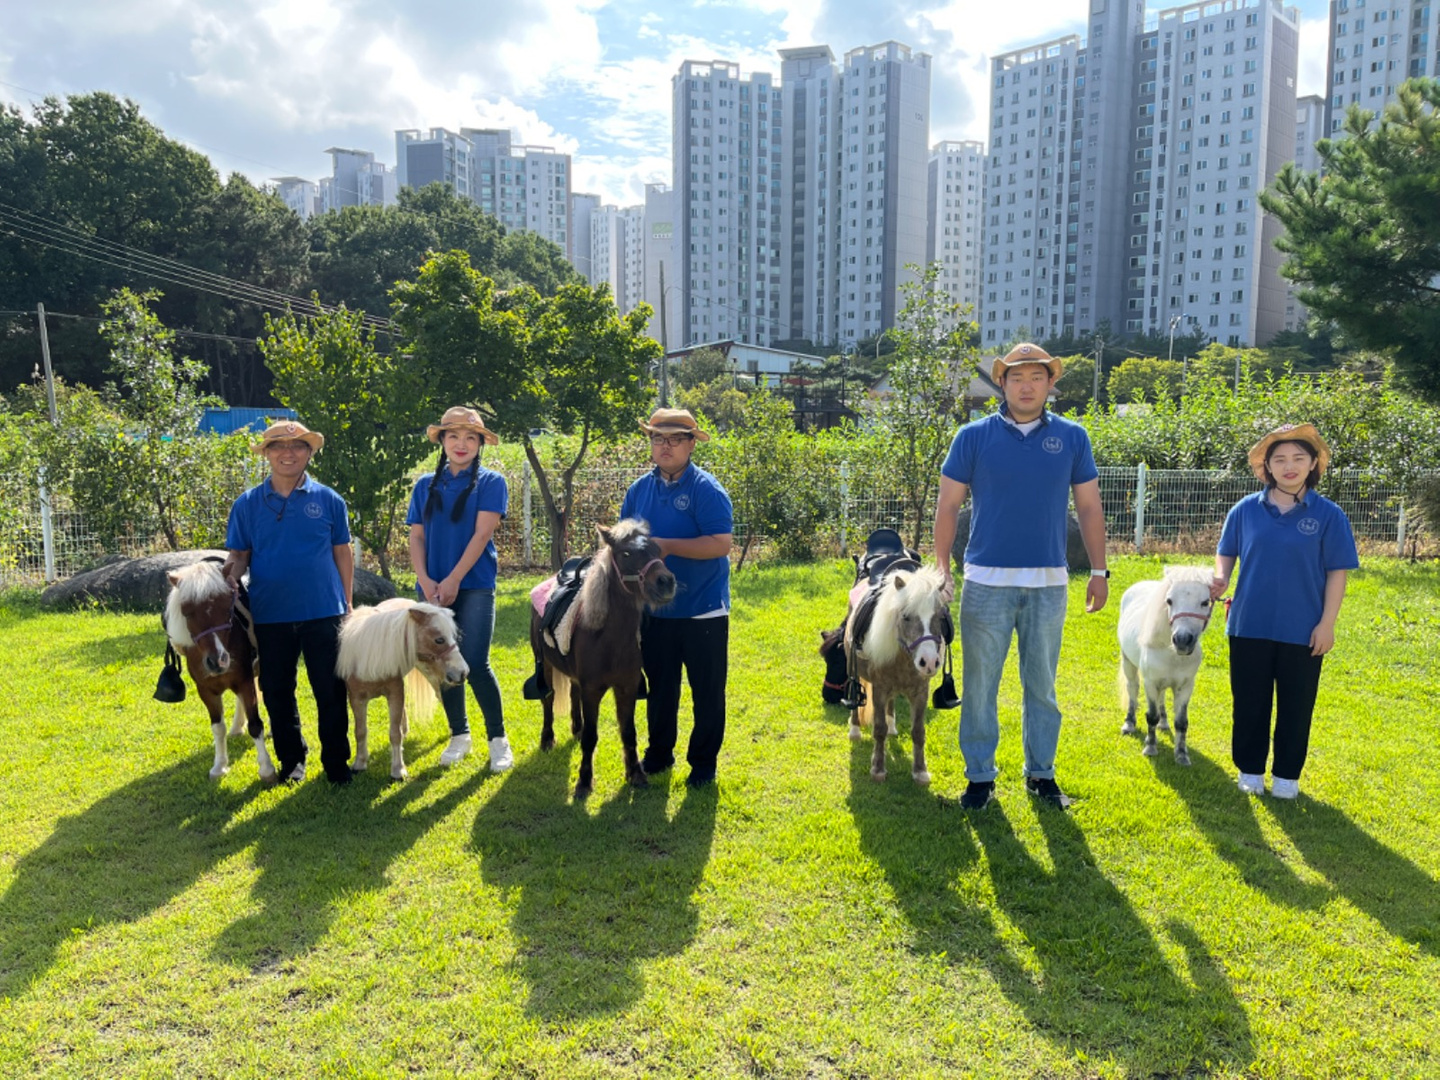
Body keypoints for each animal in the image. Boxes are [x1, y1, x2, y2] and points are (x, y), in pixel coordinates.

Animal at [164, 558, 276, 789]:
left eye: (227, 608)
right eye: (187, 612)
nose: (218, 661)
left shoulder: (244, 681)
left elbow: (255, 724)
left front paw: (266, 768)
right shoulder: (206, 690)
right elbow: (218, 728)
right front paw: (220, 766)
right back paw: (236, 727)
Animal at [335, 596, 466, 783]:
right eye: (439, 639)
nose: (463, 672)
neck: (372, 655)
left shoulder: (395, 693)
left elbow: (394, 734)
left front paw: (398, 770)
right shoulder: (356, 699)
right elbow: (360, 731)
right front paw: (359, 763)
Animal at [532, 521, 676, 800]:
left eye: (657, 550)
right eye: (626, 554)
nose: (666, 582)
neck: (609, 637)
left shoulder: (627, 689)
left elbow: (629, 732)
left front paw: (636, 774)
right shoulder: (593, 691)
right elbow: (591, 736)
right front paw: (584, 782)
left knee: (573, 693)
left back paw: (575, 728)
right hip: (545, 666)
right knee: (548, 700)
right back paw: (547, 739)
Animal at [840, 567, 950, 789]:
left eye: (939, 617)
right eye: (906, 616)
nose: (929, 662)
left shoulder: (920, 693)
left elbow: (918, 731)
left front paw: (920, 771)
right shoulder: (879, 690)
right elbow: (879, 729)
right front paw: (878, 769)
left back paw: (892, 727)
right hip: (852, 670)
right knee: (855, 699)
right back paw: (855, 730)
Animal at [1111, 567, 1215, 771]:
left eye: (1205, 602)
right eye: (1169, 600)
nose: (1182, 640)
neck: (1172, 652)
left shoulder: (1185, 688)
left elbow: (1181, 722)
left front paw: (1182, 755)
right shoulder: (1150, 684)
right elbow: (1151, 716)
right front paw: (1150, 748)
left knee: (1162, 698)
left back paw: (1164, 723)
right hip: (1128, 664)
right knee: (1132, 689)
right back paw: (1129, 724)